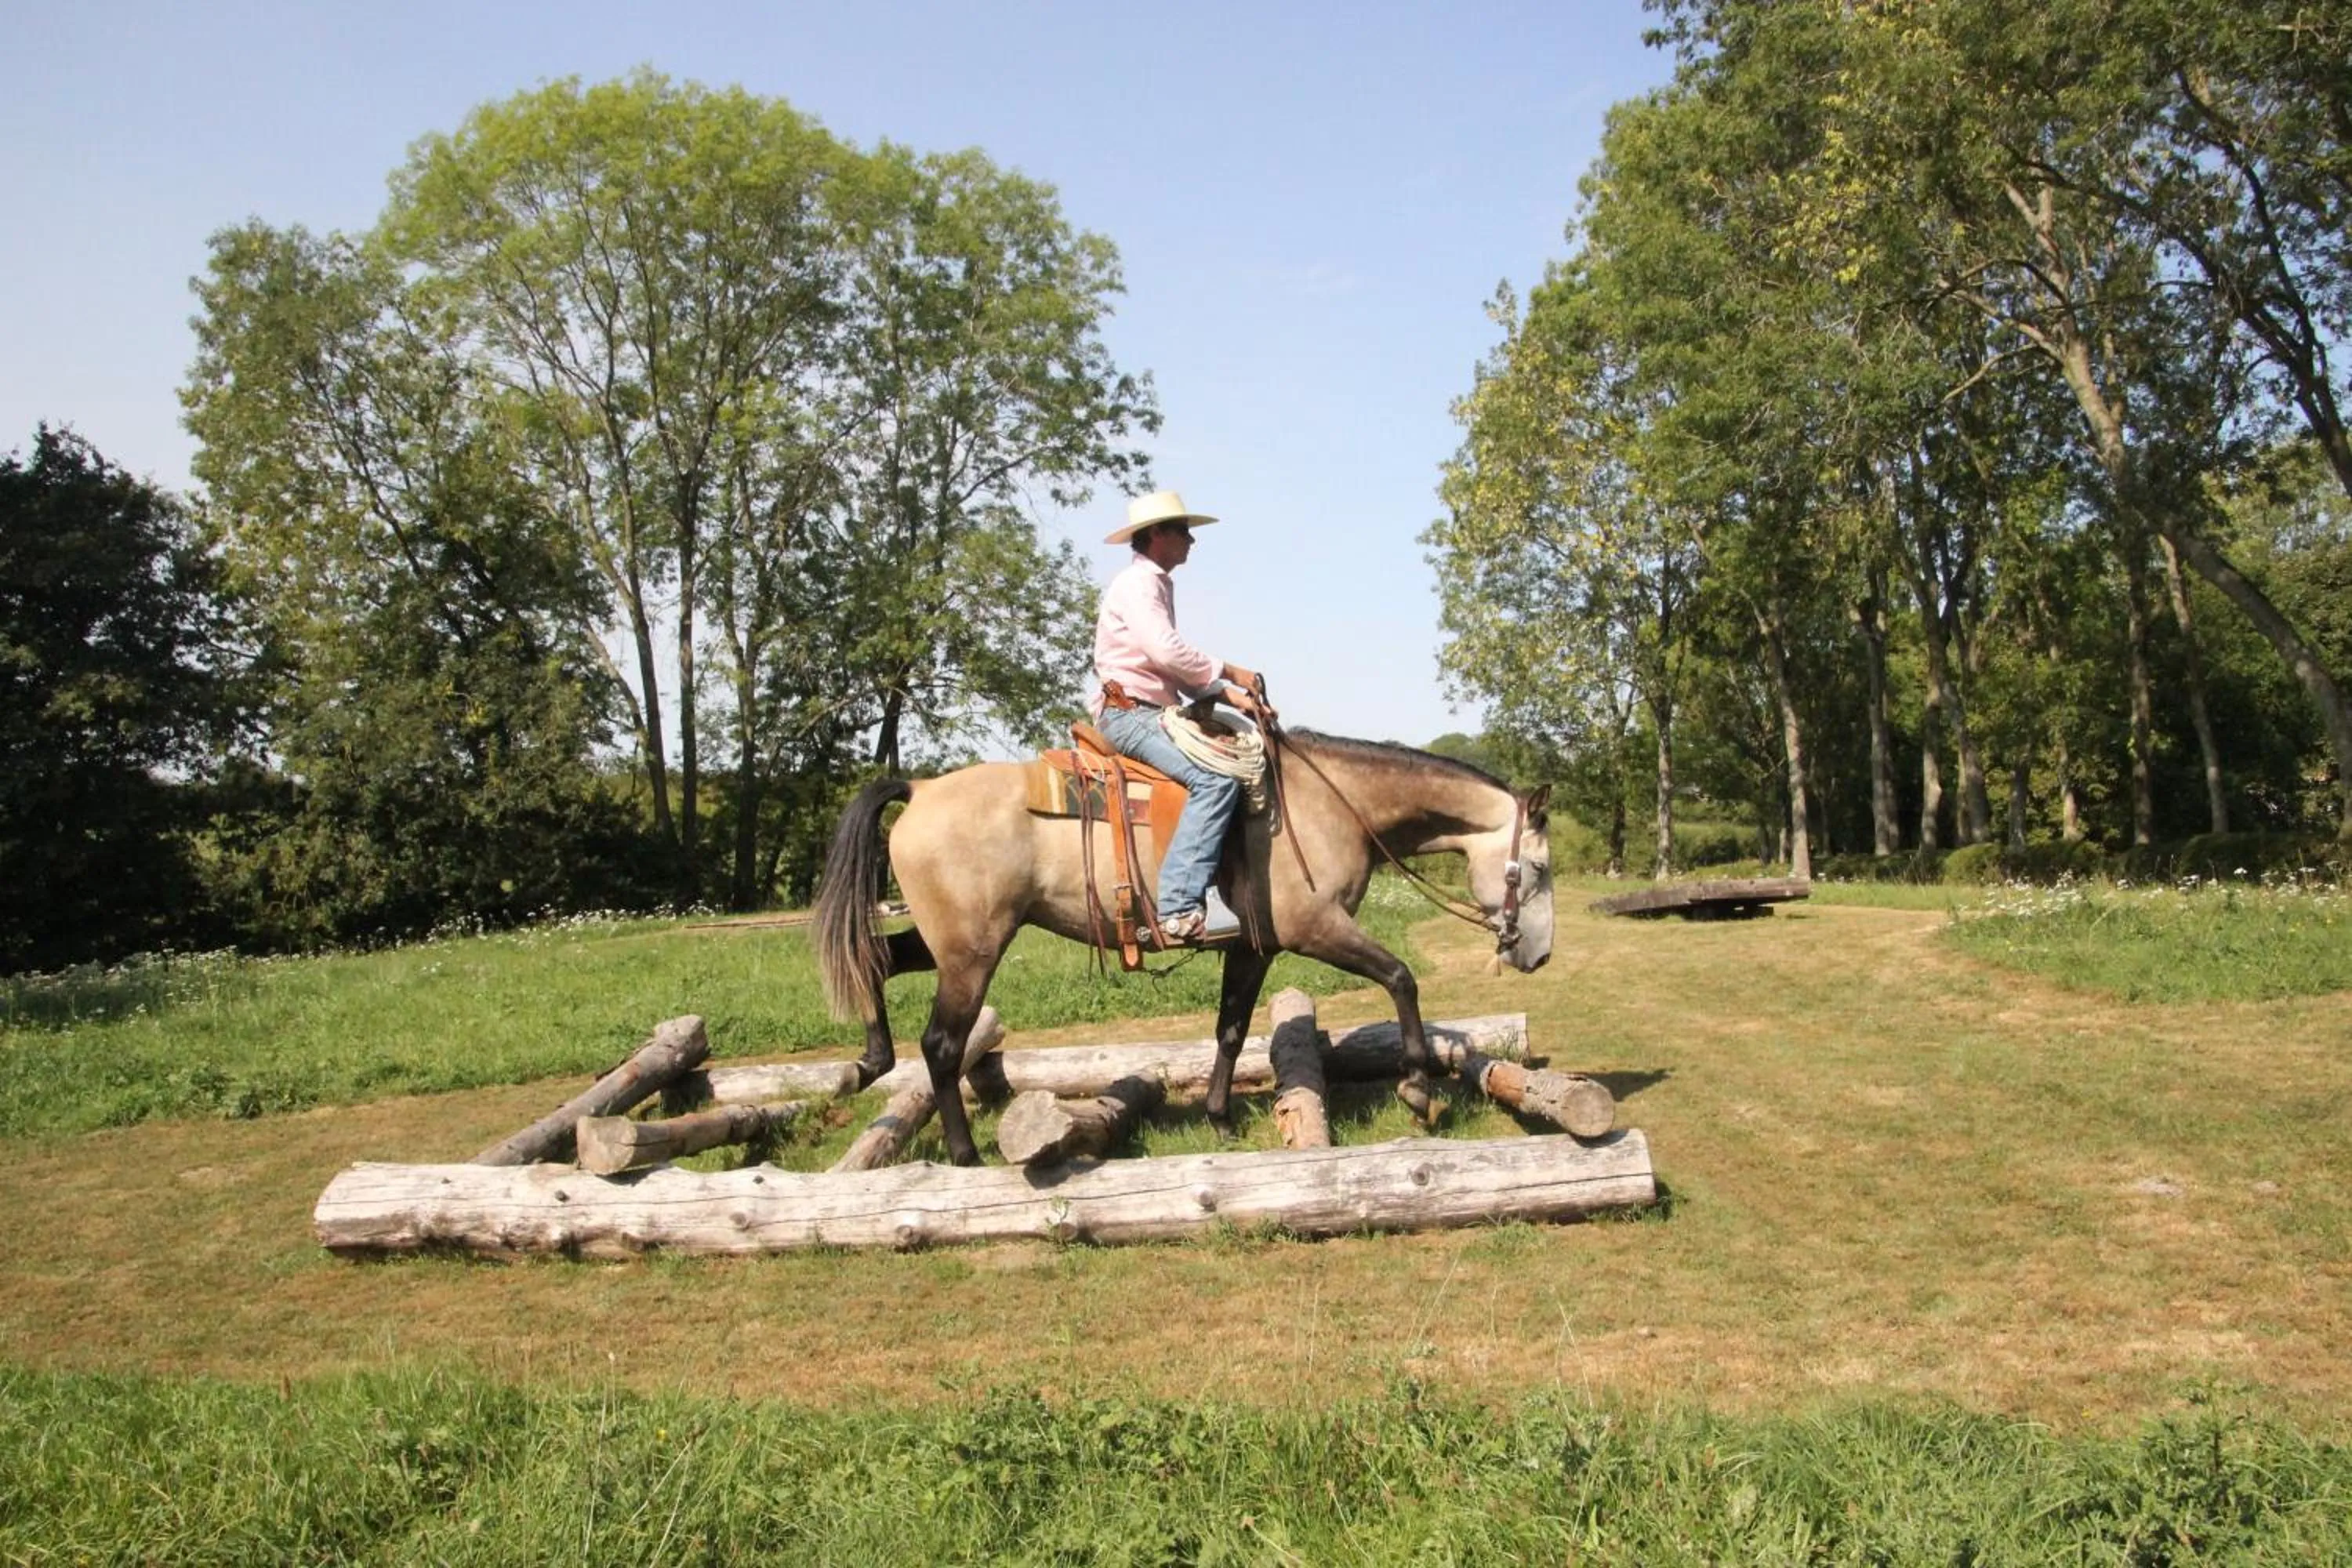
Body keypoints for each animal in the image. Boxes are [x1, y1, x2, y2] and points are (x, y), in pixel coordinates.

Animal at [813, 728, 1554, 1167]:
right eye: (1540, 869)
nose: (1540, 956)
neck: (1333, 806)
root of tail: (920, 789)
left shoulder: (1255, 948)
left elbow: (1230, 1030)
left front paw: (1221, 1121)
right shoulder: (1316, 929)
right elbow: (1401, 978)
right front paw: (1417, 1089)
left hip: (950, 942)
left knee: (877, 962)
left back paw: (869, 1060)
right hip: (974, 951)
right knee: (941, 1046)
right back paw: (966, 1155)